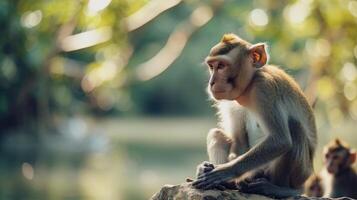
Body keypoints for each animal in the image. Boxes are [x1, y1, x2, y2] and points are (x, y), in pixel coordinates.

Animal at [191, 33, 316, 198]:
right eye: (212, 66)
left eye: (222, 66)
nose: (212, 83)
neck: (248, 90)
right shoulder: (230, 102)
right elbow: (238, 141)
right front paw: (206, 169)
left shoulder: (264, 88)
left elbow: (280, 140)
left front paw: (224, 171)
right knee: (216, 134)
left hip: (300, 174)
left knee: (294, 128)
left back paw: (281, 189)